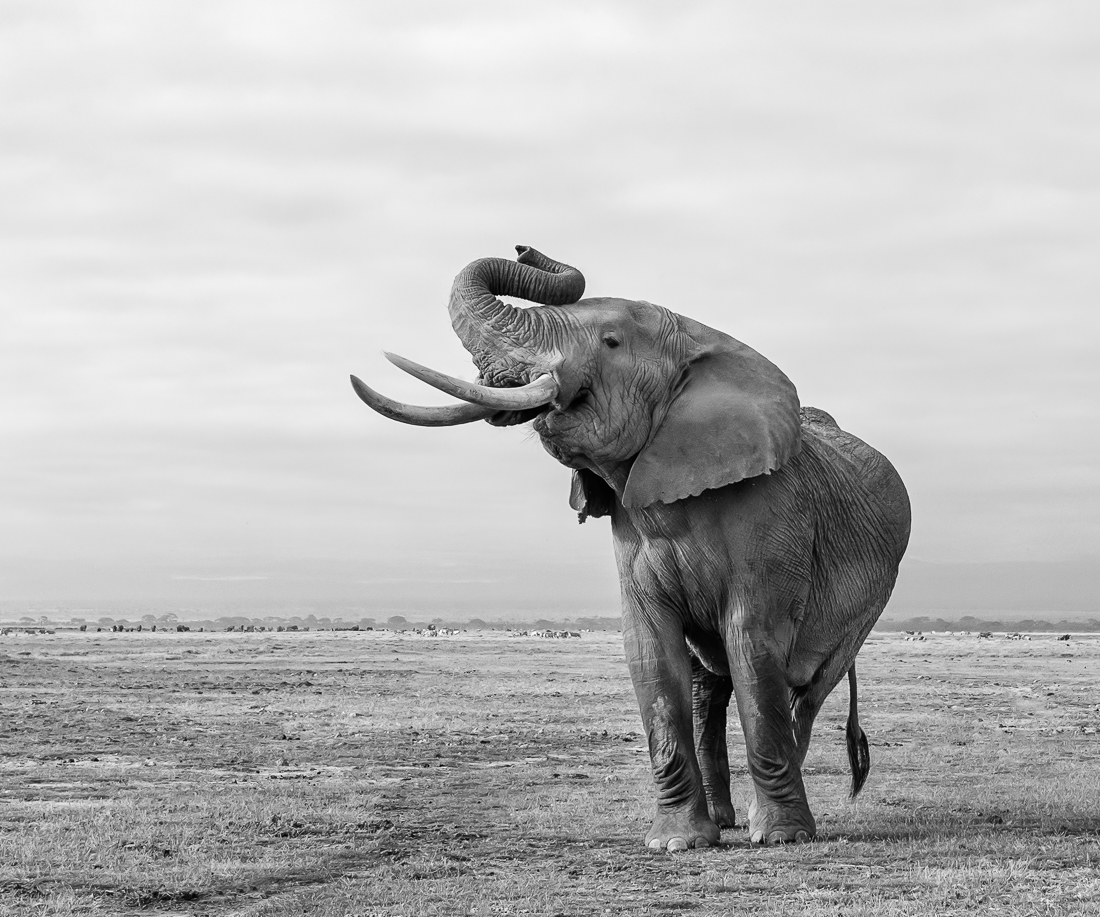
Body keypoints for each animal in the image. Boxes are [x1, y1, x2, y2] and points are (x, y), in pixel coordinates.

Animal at [351, 246, 911, 850]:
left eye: (611, 342)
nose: (526, 248)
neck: (700, 338)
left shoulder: (772, 520)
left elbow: (753, 646)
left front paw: (780, 838)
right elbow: (651, 654)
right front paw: (677, 843)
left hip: (869, 602)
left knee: (805, 690)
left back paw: (769, 821)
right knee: (707, 686)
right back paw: (723, 821)